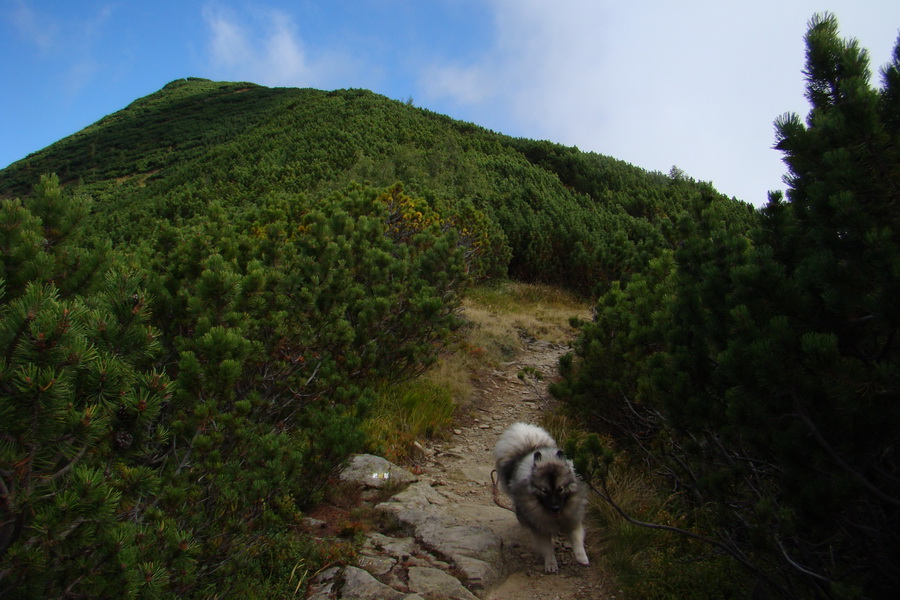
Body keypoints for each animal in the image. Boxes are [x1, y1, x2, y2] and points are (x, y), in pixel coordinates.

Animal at [492, 422, 592, 572]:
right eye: (544, 491)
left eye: (560, 489)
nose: (555, 507)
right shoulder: (540, 526)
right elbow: (547, 548)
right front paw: (551, 564)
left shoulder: (572, 519)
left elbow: (577, 539)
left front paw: (582, 557)